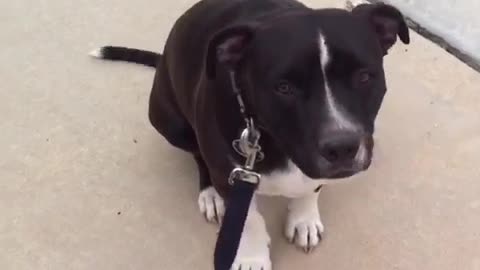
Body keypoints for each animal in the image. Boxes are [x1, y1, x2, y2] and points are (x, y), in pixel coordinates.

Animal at [91, 1, 408, 268]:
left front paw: (304, 219)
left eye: (364, 77)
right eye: (283, 87)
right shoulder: (231, 176)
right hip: (170, 122)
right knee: (198, 154)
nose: (342, 147)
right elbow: (249, 219)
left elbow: (311, 187)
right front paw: (252, 258)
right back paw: (210, 195)